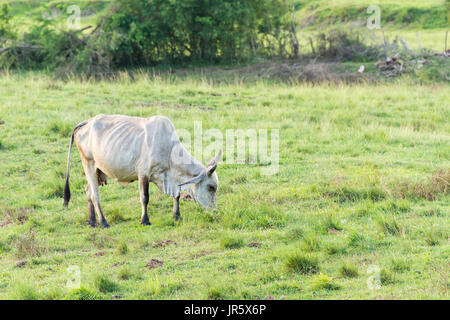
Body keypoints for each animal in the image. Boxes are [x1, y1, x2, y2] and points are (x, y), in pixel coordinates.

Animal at [62, 114, 221, 228]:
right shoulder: (143, 174)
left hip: (98, 170)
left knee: (88, 191)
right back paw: (103, 222)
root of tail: (86, 122)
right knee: (95, 195)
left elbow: (176, 196)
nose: (215, 211)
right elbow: (145, 198)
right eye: (211, 187)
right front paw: (145, 220)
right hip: (88, 163)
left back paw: (92, 222)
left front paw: (176, 216)